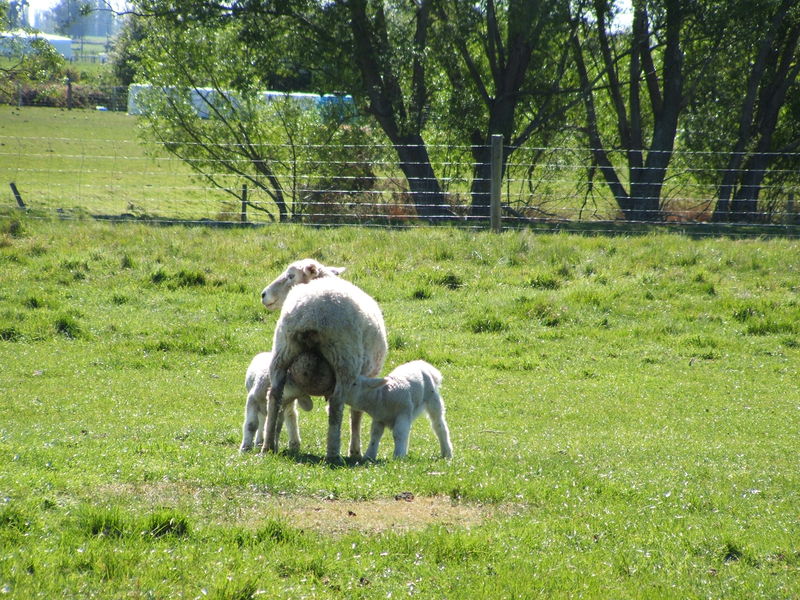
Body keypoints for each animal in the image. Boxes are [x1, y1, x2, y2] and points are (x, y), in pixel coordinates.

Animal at [262, 260, 388, 462]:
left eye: (291, 276)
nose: (263, 295)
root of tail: (310, 310)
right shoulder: (366, 376)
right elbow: (356, 413)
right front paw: (355, 451)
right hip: (344, 359)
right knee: (337, 405)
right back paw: (333, 453)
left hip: (282, 351)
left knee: (274, 396)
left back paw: (267, 446)